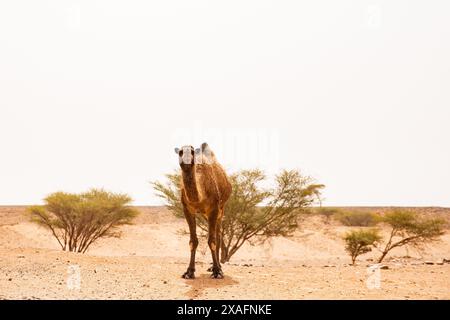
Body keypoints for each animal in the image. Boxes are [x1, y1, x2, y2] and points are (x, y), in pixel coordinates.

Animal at [174, 141, 232, 278]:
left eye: (192, 151)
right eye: (180, 152)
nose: (186, 160)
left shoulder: (214, 209)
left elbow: (212, 241)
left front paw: (217, 271)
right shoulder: (187, 209)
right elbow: (193, 241)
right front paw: (189, 271)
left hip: (221, 209)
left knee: (218, 235)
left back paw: (217, 266)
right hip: (206, 215)